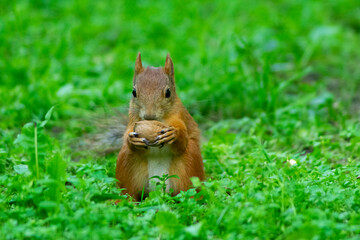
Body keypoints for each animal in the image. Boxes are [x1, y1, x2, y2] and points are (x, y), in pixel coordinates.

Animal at [116, 52, 205, 201]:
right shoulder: (133, 121)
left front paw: (173, 134)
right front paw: (131, 140)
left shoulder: (180, 117)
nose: (149, 116)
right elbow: (127, 135)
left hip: (191, 164)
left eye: (168, 93)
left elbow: (182, 141)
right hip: (126, 163)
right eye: (134, 92)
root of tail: (159, 190)